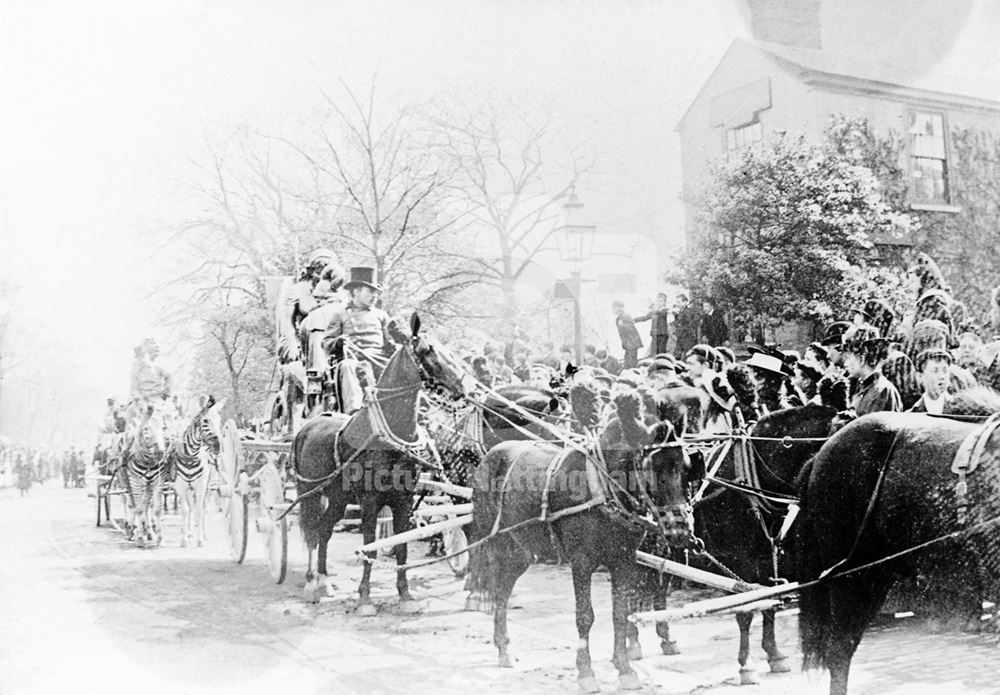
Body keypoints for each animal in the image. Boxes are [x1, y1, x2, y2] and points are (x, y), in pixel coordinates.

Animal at [125, 406, 170, 548]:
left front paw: (159, 538)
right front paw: (139, 538)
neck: (148, 462)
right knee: (131, 504)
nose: (160, 452)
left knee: (146, 505)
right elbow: (138, 509)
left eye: (163, 427)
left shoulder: (158, 482)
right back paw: (131, 530)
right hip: (126, 482)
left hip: (148, 486)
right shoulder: (135, 482)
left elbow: (156, 510)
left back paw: (149, 532)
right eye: (146, 429)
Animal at [168, 396, 223, 548]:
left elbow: (199, 510)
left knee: (202, 508)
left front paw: (200, 540)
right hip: (189, 488)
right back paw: (189, 532)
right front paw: (184, 539)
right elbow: (186, 510)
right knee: (191, 507)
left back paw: (203, 533)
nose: (217, 446)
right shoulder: (181, 487)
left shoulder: (201, 487)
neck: (190, 456)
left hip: (209, 485)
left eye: (219, 420)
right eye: (205, 421)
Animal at [292, 314, 468, 608]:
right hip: (309, 494)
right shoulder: (370, 501)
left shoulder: (403, 500)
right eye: (428, 350)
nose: (462, 387)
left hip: (338, 498)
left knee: (325, 530)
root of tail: (306, 427)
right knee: (312, 531)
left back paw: (325, 581)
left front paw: (405, 594)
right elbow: (369, 547)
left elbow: (402, 546)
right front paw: (365, 598)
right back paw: (310, 581)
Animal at [468, 384, 704, 692]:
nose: (680, 530)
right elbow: (585, 616)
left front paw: (625, 669)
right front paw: (586, 673)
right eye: (651, 469)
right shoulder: (581, 562)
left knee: (504, 588)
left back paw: (505, 648)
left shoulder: (624, 560)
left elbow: (620, 613)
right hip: (494, 542)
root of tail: (491, 454)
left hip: (523, 551)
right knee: (496, 586)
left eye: (687, 467)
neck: (603, 489)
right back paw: (501, 644)